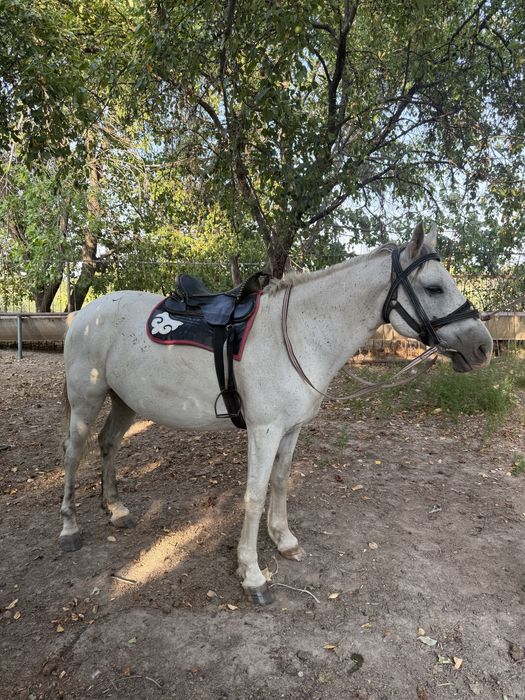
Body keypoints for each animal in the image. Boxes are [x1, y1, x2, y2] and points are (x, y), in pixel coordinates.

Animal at [60, 223, 493, 604]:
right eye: (434, 287)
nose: (484, 347)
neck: (298, 334)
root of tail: (85, 314)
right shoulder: (263, 431)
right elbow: (253, 495)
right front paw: (252, 574)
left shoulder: (291, 429)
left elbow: (281, 482)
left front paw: (283, 540)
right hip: (86, 400)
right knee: (74, 454)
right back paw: (69, 529)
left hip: (124, 401)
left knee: (108, 443)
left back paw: (116, 510)